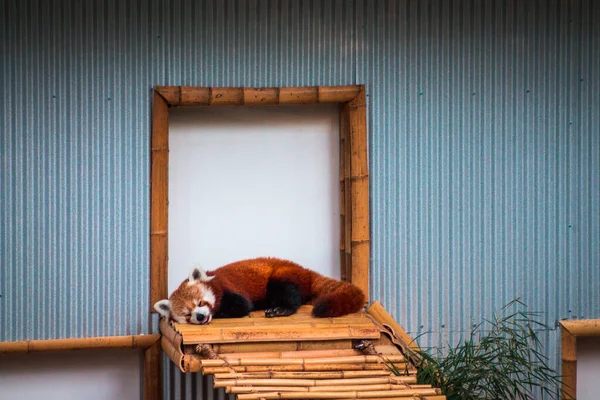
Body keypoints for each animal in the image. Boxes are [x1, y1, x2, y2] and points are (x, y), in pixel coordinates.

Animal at [154, 256, 366, 324]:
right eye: (187, 314)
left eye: (200, 303)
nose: (200, 316)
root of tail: (304, 270)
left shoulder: (228, 288)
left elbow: (242, 306)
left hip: (282, 276)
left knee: (288, 294)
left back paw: (280, 309)